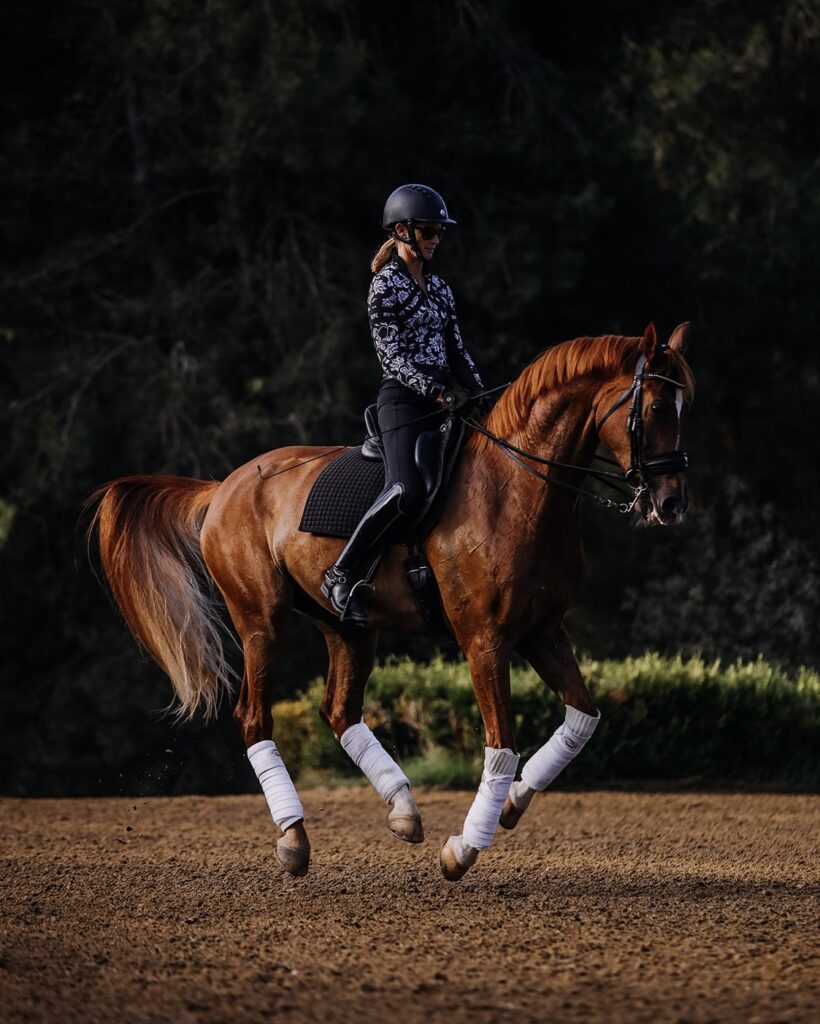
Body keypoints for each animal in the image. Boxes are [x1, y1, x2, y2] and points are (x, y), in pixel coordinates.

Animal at [89, 321, 694, 881]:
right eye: (656, 407)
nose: (671, 504)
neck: (517, 488)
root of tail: (223, 487)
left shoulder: (543, 631)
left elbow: (583, 719)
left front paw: (516, 803)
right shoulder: (485, 641)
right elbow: (501, 744)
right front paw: (464, 849)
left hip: (349, 628)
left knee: (339, 711)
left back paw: (402, 809)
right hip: (261, 621)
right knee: (254, 717)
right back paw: (294, 839)